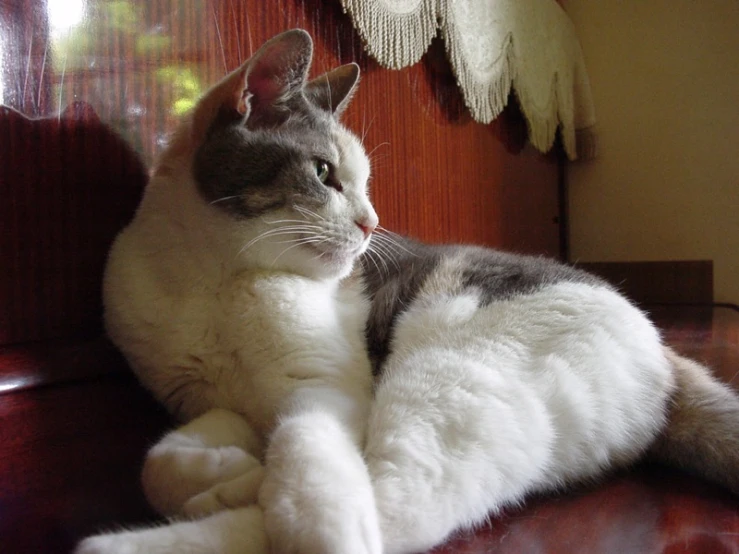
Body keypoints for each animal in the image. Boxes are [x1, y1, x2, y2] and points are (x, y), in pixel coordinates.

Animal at [76, 29, 739, 552]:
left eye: (366, 183)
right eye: (324, 174)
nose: (371, 223)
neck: (215, 281)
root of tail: (667, 354)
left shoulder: (322, 388)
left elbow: (311, 457)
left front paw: (294, 508)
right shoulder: (207, 401)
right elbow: (160, 462)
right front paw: (227, 467)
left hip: (446, 380)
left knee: (391, 507)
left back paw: (136, 540)